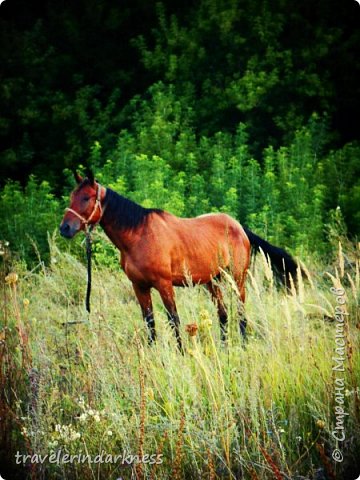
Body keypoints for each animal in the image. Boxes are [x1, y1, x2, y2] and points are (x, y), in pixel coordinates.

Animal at [60, 171, 298, 350]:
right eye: (71, 196)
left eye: (86, 198)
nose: (65, 228)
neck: (139, 236)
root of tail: (239, 227)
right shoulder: (139, 286)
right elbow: (150, 321)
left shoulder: (164, 285)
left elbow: (174, 320)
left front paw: (181, 352)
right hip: (213, 281)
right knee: (222, 314)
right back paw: (223, 348)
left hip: (236, 279)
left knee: (240, 312)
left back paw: (243, 345)